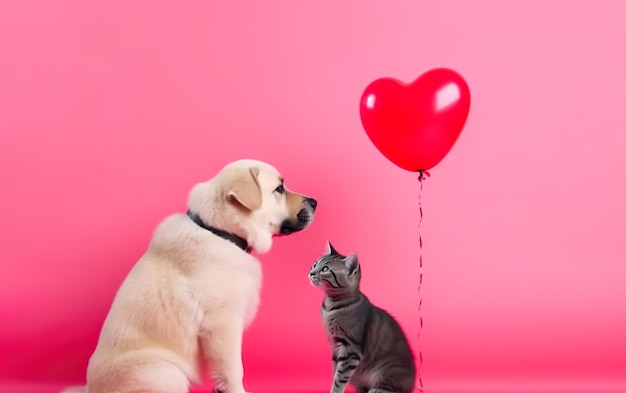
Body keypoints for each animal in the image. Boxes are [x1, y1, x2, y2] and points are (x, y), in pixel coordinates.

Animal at [62, 158, 316, 392]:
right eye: (279, 188)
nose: (314, 202)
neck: (219, 231)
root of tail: (91, 389)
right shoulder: (222, 324)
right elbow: (234, 369)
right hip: (165, 372)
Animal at [308, 240, 414, 392]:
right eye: (315, 264)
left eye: (325, 269)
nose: (311, 273)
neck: (330, 306)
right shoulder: (335, 347)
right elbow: (335, 372)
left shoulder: (351, 349)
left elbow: (340, 378)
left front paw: (335, 390)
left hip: (386, 369)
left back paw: (376, 389)